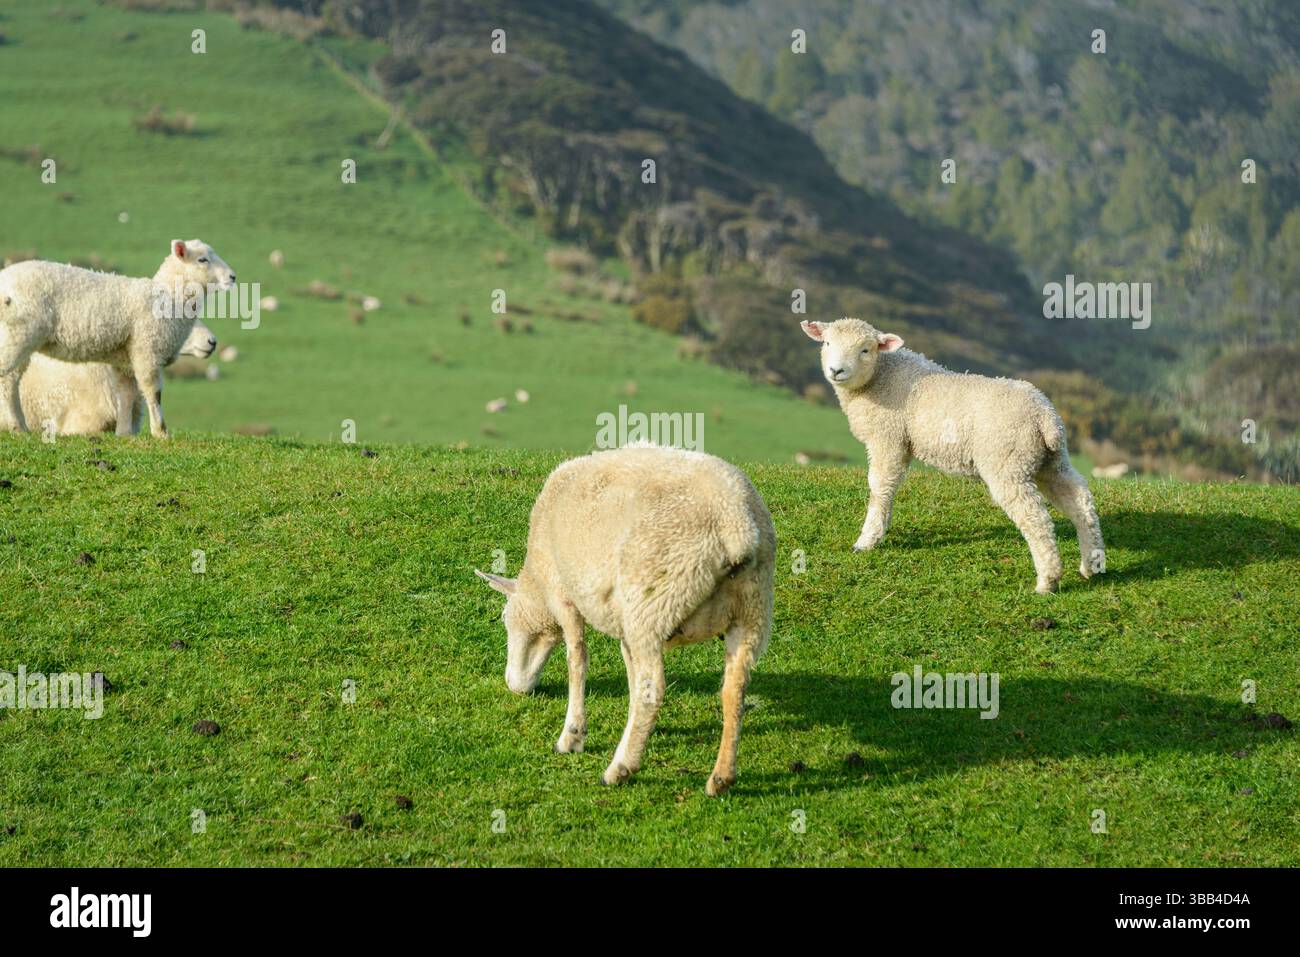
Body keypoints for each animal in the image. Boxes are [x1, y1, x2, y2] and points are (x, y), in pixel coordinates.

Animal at [475, 444, 775, 796]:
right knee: (734, 689)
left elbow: (577, 659)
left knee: (653, 690)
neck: (537, 580)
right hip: (750, 612)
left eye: (506, 620)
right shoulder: (622, 620)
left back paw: (620, 768)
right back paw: (721, 778)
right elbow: (629, 671)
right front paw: (640, 730)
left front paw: (572, 735)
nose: (513, 684)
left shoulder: (565, 594)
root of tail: (736, 528)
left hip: (653, 606)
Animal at [801, 318, 1104, 594]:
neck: (881, 376)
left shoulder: (887, 438)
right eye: (827, 343)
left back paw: (1047, 581)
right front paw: (881, 530)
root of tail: (1045, 417)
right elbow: (889, 487)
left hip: (1008, 463)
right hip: (1049, 460)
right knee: (1080, 500)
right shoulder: (899, 443)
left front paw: (867, 540)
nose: (836, 370)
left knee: (1036, 518)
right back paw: (1092, 564)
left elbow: (879, 487)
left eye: (865, 349)